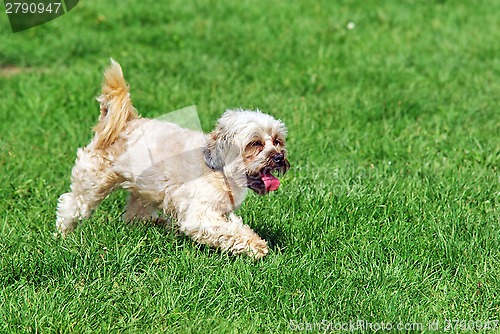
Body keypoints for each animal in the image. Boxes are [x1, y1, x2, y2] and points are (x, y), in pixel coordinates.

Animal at [55, 59, 290, 258]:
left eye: (277, 141)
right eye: (255, 143)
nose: (279, 157)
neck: (219, 168)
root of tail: (122, 123)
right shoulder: (199, 214)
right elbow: (228, 230)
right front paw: (256, 246)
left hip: (144, 191)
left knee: (134, 217)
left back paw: (162, 224)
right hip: (93, 181)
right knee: (72, 205)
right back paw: (62, 236)